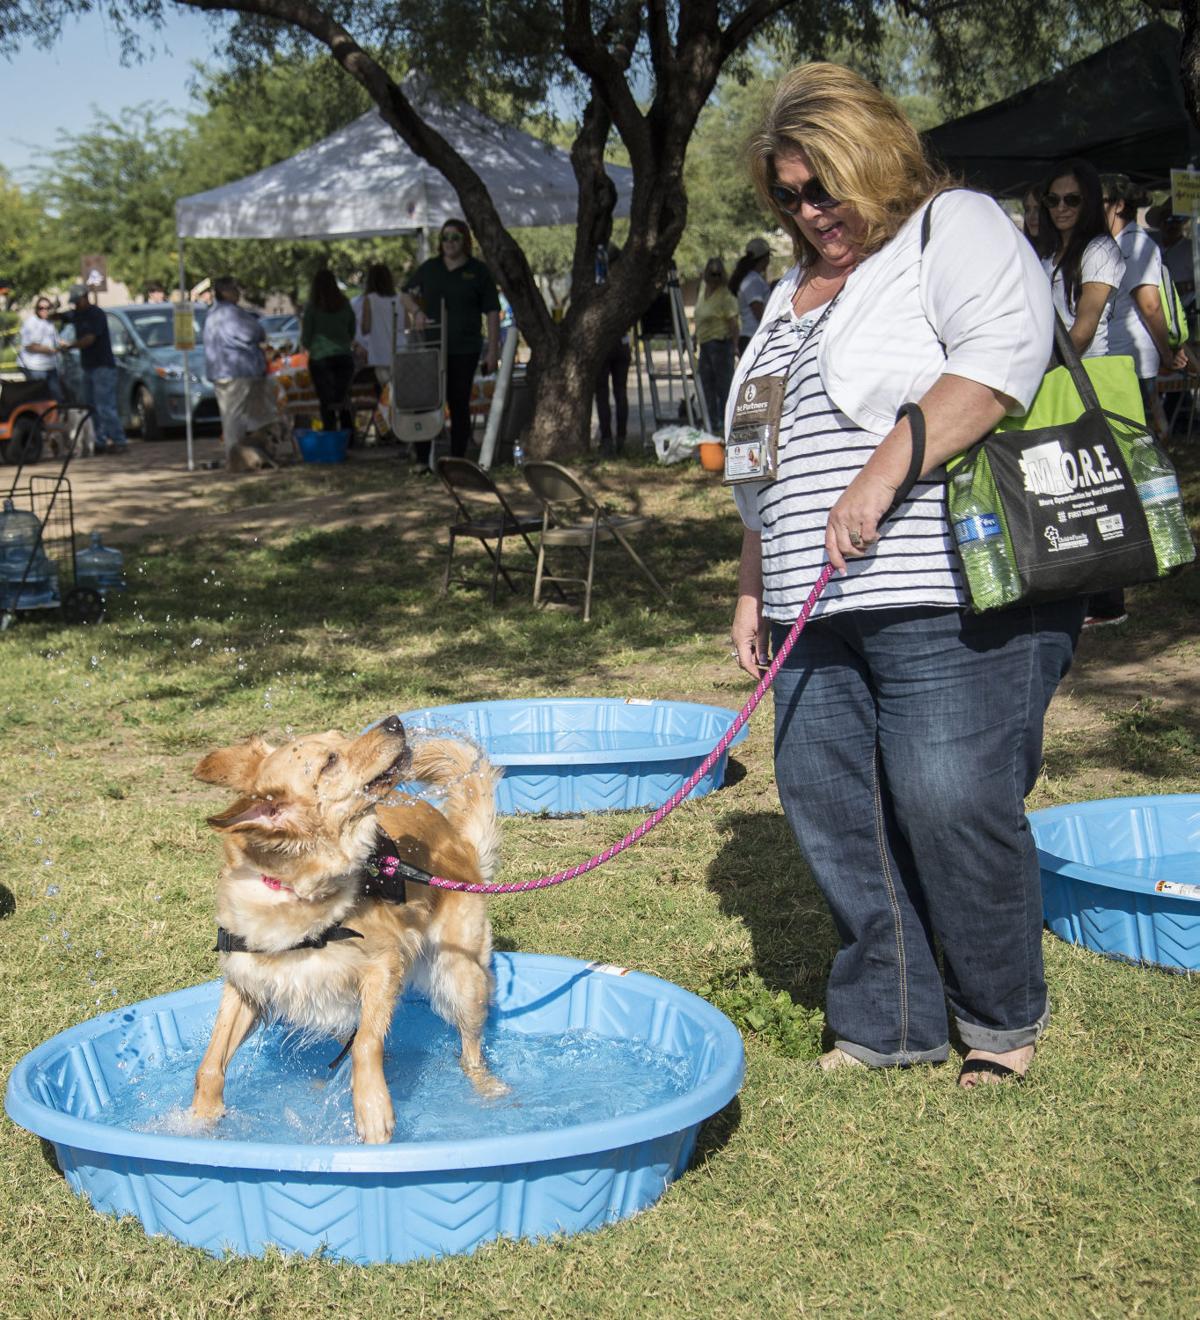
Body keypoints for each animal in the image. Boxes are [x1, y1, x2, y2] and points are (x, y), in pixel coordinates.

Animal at [188, 718, 506, 1140]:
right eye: (330, 761)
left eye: (339, 737)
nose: (395, 721)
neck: (291, 893)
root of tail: (462, 845)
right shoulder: (248, 982)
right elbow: (211, 1059)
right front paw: (199, 1117)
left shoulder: (383, 965)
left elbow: (367, 1044)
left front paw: (372, 1108)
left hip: (460, 978)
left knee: (470, 1051)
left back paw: (486, 1088)